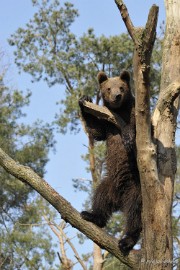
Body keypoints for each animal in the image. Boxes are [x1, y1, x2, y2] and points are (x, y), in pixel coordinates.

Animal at [79, 70, 142, 255]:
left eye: (121, 87)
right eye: (108, 88)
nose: (117, 96)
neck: (119, 111)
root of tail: (120, 200)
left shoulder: (134, 113)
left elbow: (134, 128)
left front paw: (128, 137)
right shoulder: (107, 125)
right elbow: (96, 131)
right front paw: (84, 101)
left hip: (136, 188)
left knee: (135, 214)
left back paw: (127, 241)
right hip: (109, 183)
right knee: (100, 197)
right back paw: (91, 215)